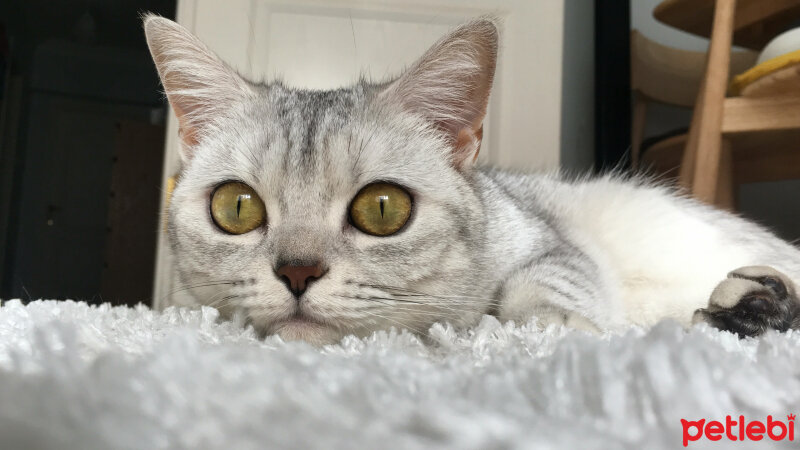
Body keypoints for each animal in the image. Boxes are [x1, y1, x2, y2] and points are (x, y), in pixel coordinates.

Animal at [144, 14, 800, 344]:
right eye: (237, 208)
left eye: (382, 208)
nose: (297, 272)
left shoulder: (552, 244)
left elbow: (543, 288)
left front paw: (551, 330)